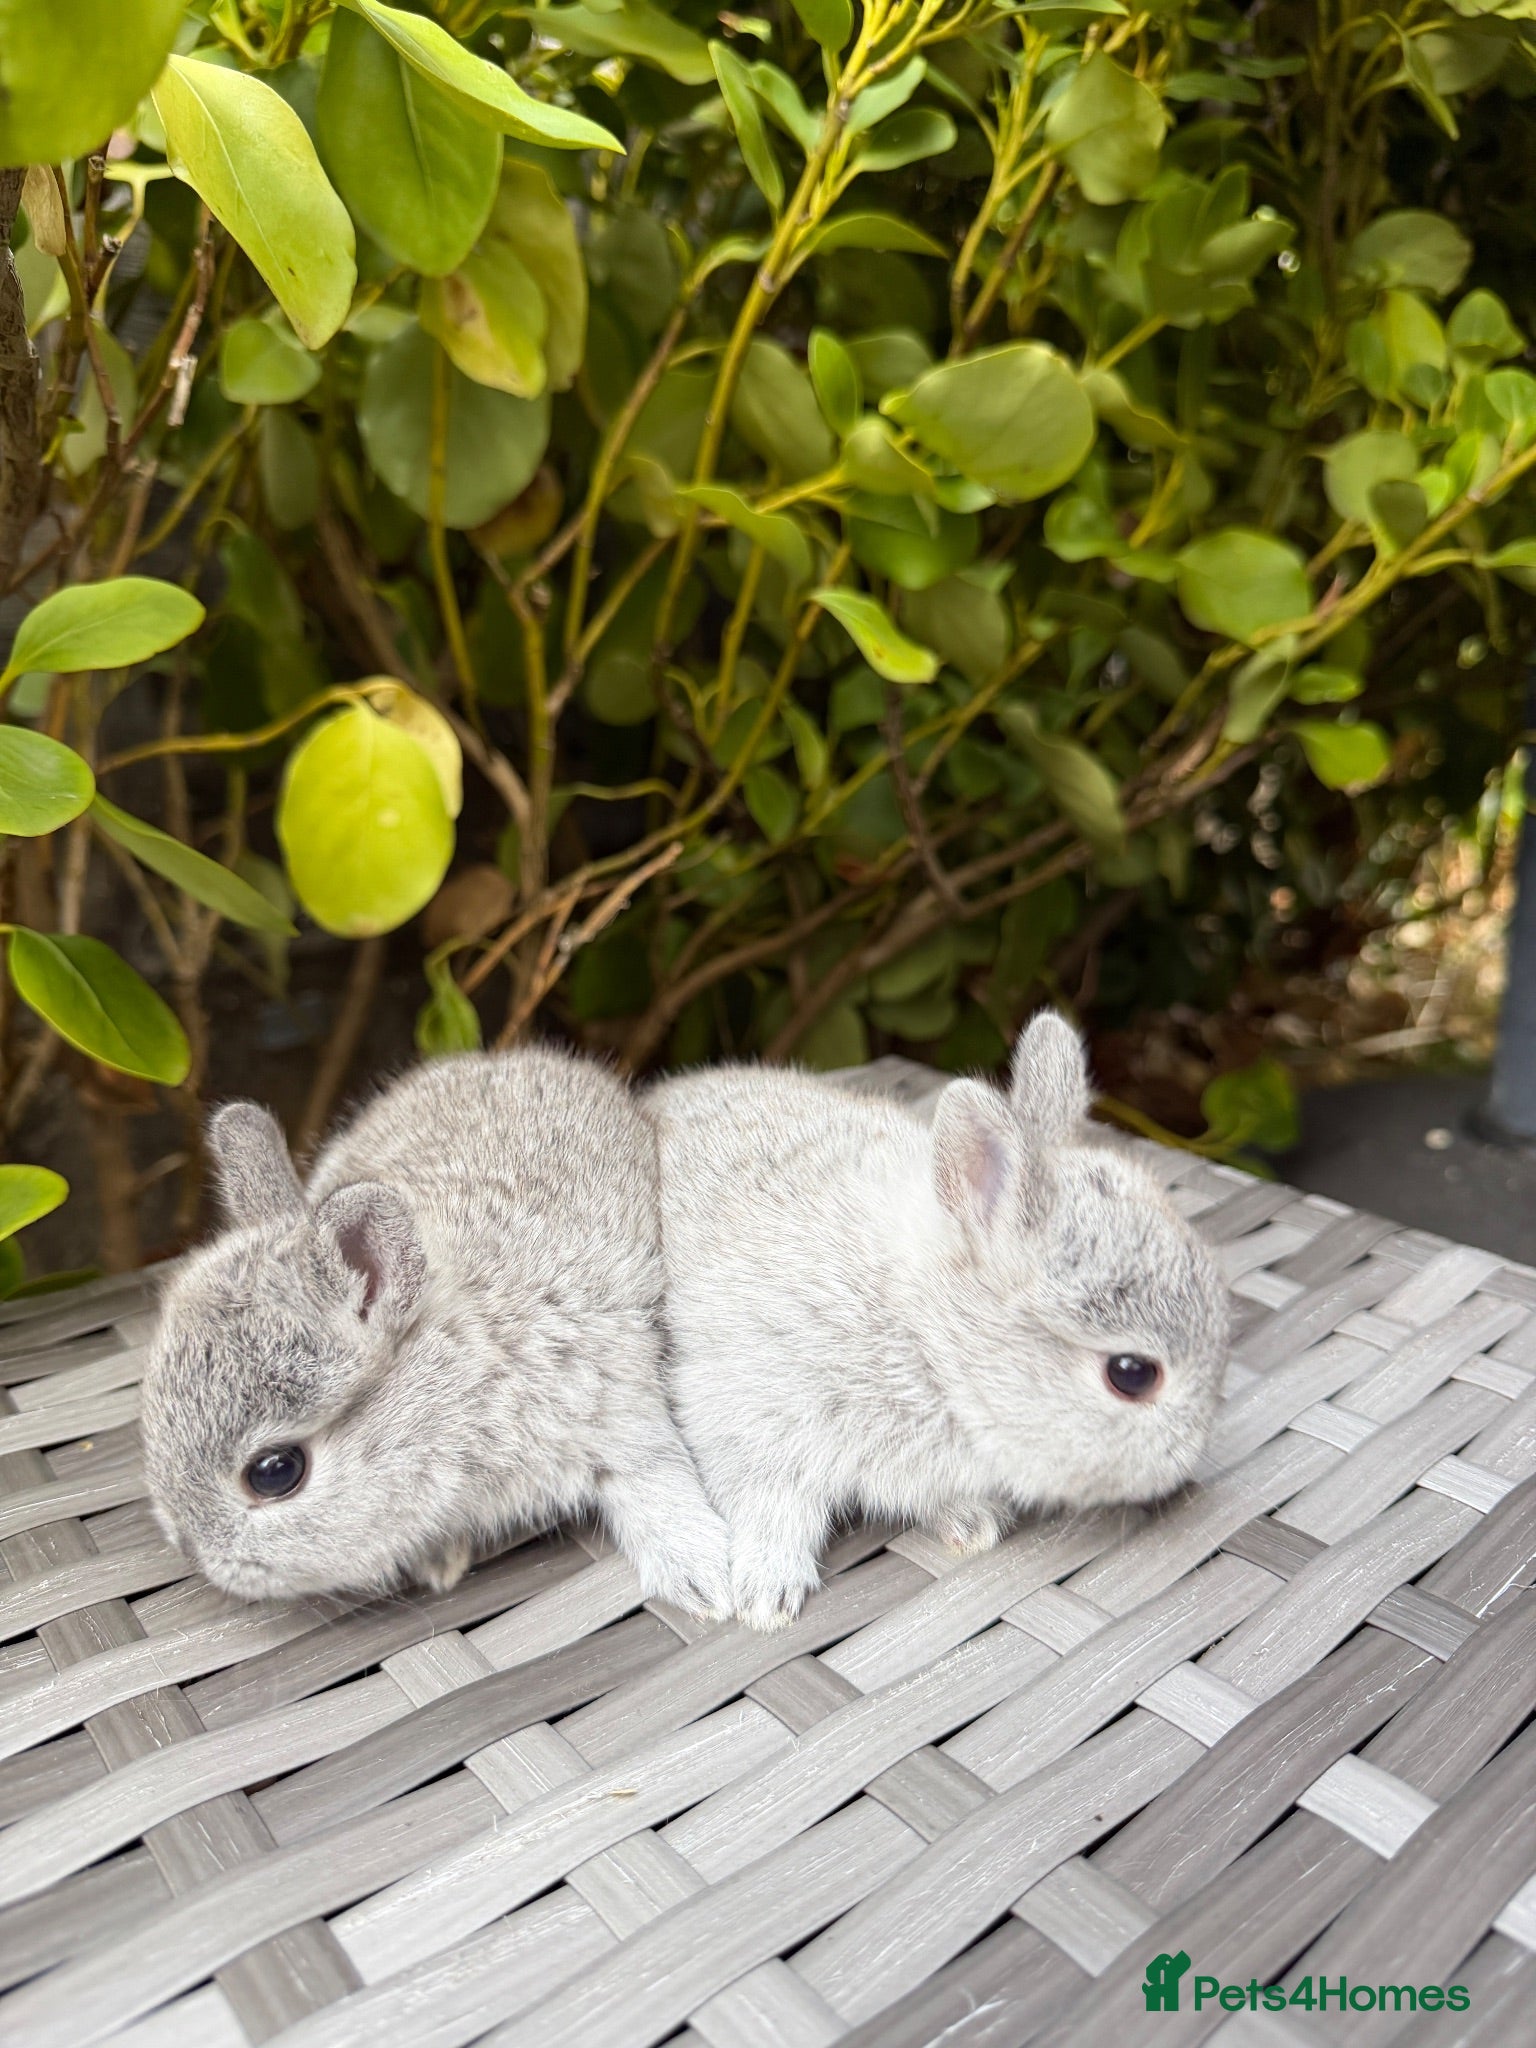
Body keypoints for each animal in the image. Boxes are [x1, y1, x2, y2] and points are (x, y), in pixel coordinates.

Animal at [140, 1048, 732, 1619]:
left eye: (275, 1472)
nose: (194, 1553)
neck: (448, 1392)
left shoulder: (610, 1402)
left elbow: (653, 1477)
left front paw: (706, 1584)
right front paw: (440, 1565)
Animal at [647, 1013, 1229, 1631]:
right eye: (1131, 1374)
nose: (1188, 1460)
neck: (929, 1343)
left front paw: (971, 1525)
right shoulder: (752, 1411)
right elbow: (770, 1504)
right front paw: (768, 1599)